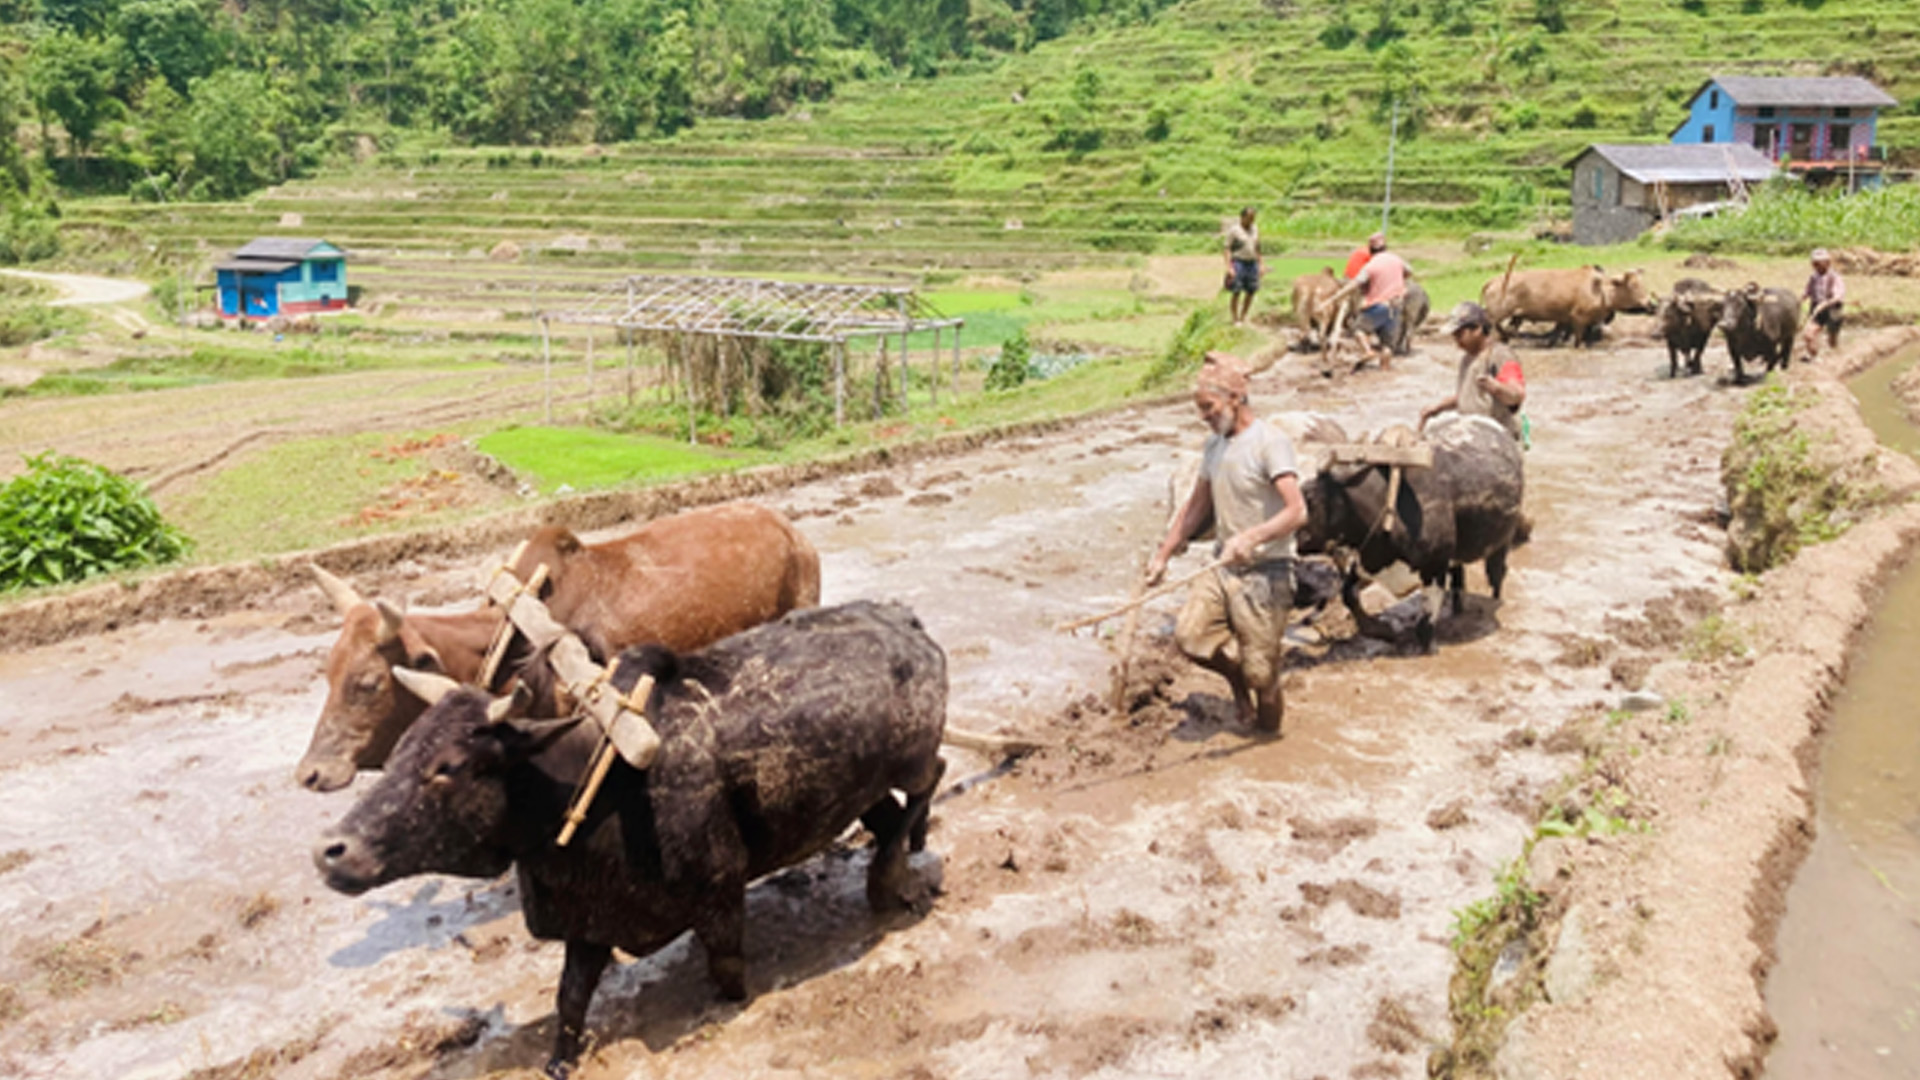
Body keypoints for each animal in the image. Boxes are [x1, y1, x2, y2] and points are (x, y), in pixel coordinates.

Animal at [311, 599, 948, 1068]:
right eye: (399, 752)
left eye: (447, 766)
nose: (330, 851)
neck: (594, 785)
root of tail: (903, 618)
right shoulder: (590, 924)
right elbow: (569, 1001)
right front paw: (560, 1061)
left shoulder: (720, 896)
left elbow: (728, 977)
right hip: (866, 787)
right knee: (889, 814)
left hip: (912, 760)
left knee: (931, 780)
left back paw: (892, 877)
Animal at [1297, 411, 1520, 614]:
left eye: (1310, 497)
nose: (1297, 539)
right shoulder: (1366, 564)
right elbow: (1347, 595)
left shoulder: (1434, 572)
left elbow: (1425, 625)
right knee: (1459, 574)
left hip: (1502, 542)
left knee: (1497, 576)